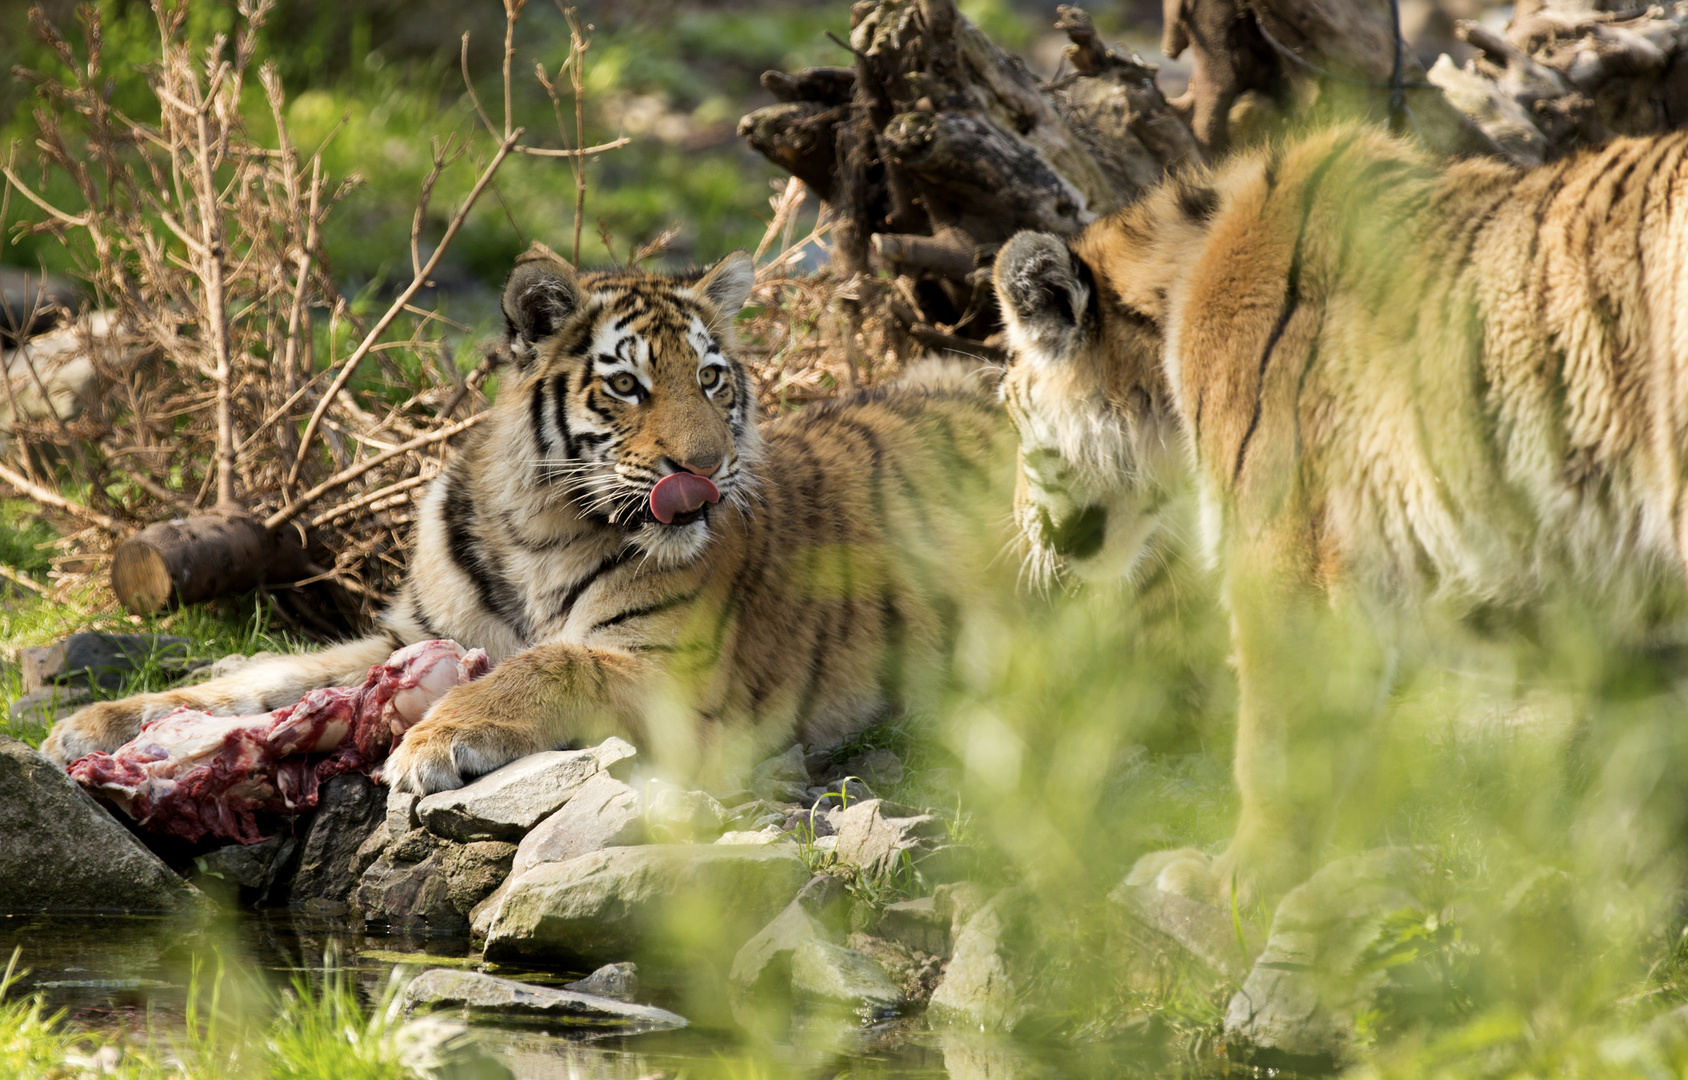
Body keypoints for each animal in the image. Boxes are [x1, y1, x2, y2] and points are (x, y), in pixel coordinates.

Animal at [42, 249, 1012, 796]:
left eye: (711, 379)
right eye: (627, 385)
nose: (704, 469)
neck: (537, 531)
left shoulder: (674, 672)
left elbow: (547, 663)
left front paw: (433, 741)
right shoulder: (407, 637)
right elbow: (272, 675)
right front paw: (102, 722)